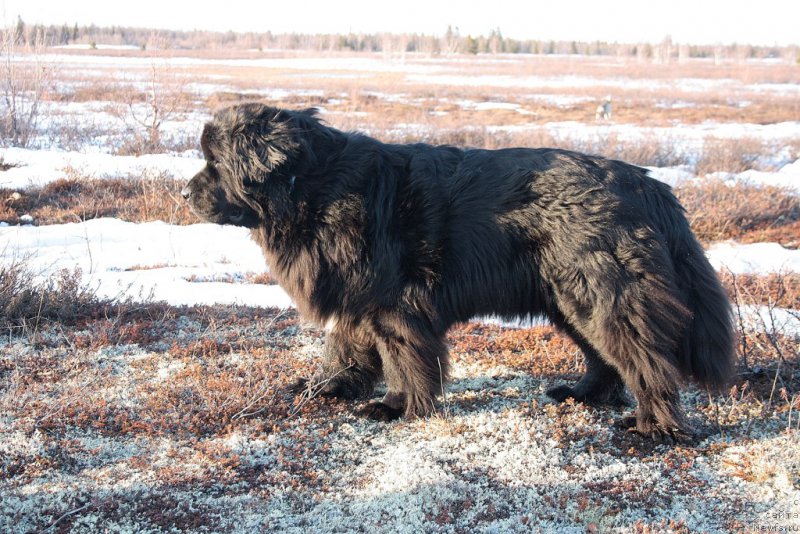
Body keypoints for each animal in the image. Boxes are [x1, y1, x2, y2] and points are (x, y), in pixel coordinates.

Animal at [184, 103, 736, 440]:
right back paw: (582, 396)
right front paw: (329, 388)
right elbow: (346, 348)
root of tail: (645, 182)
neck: (312, 189)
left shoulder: (395, 302)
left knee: (645, 361)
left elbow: (403, 357)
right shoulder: (358, 296)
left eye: (216, 162)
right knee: (606, 359)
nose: (185, 192)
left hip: (602, 294)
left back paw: (654, 431)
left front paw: (397, 406)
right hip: (569, 299)